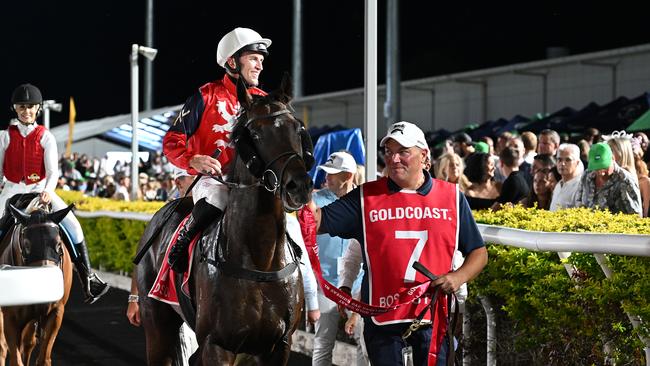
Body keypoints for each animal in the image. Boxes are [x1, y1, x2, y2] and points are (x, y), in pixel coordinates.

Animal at [0, 196, 73, 366]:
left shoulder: (55, 312)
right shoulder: (10, 317)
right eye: (26, 245)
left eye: (58, 244)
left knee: (28, 343)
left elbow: (43, 358)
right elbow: (15, 359)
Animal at [138, 76, 316, 364]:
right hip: (156, 322)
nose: (298, 186)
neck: (261, 261)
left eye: (297, 128)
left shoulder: (278, 345)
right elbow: (174, 137)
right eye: (255, 134)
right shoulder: (217, 345)